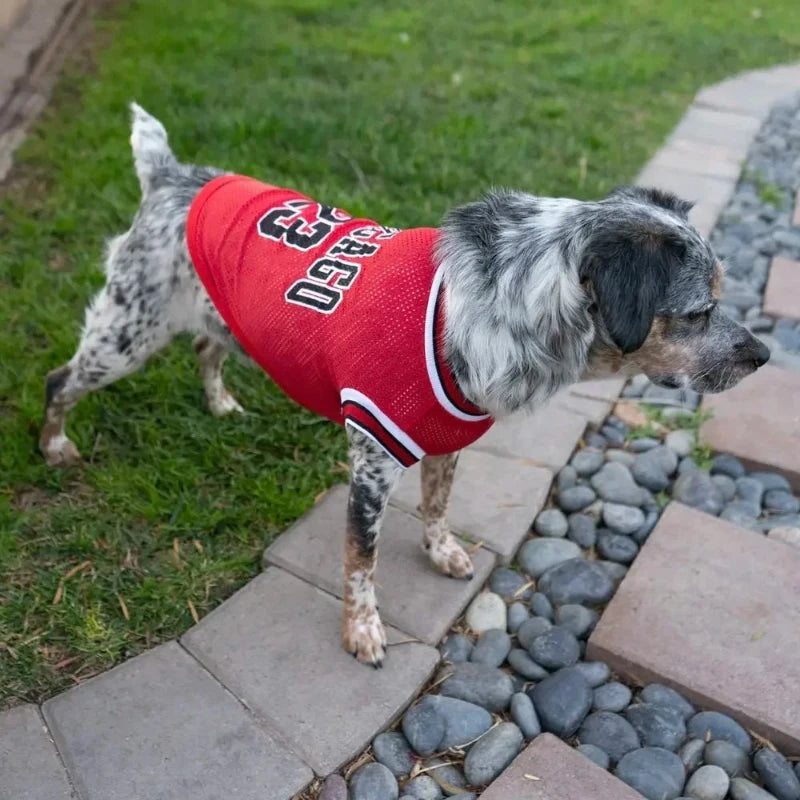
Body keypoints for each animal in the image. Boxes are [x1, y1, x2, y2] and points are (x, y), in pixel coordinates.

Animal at [39, 108, 768, 668]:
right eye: (700, 311)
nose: (763, 355)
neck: (483, 308)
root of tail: (171, 174)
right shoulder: (371, 458)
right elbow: (361, 560)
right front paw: (362, 632)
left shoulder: (446, 440)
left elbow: (438, 507)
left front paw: (442, 553)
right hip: (125, 334)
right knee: (58, 379)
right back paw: (54, 448)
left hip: (213, 317)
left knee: (205, 347)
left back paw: (219, 404)